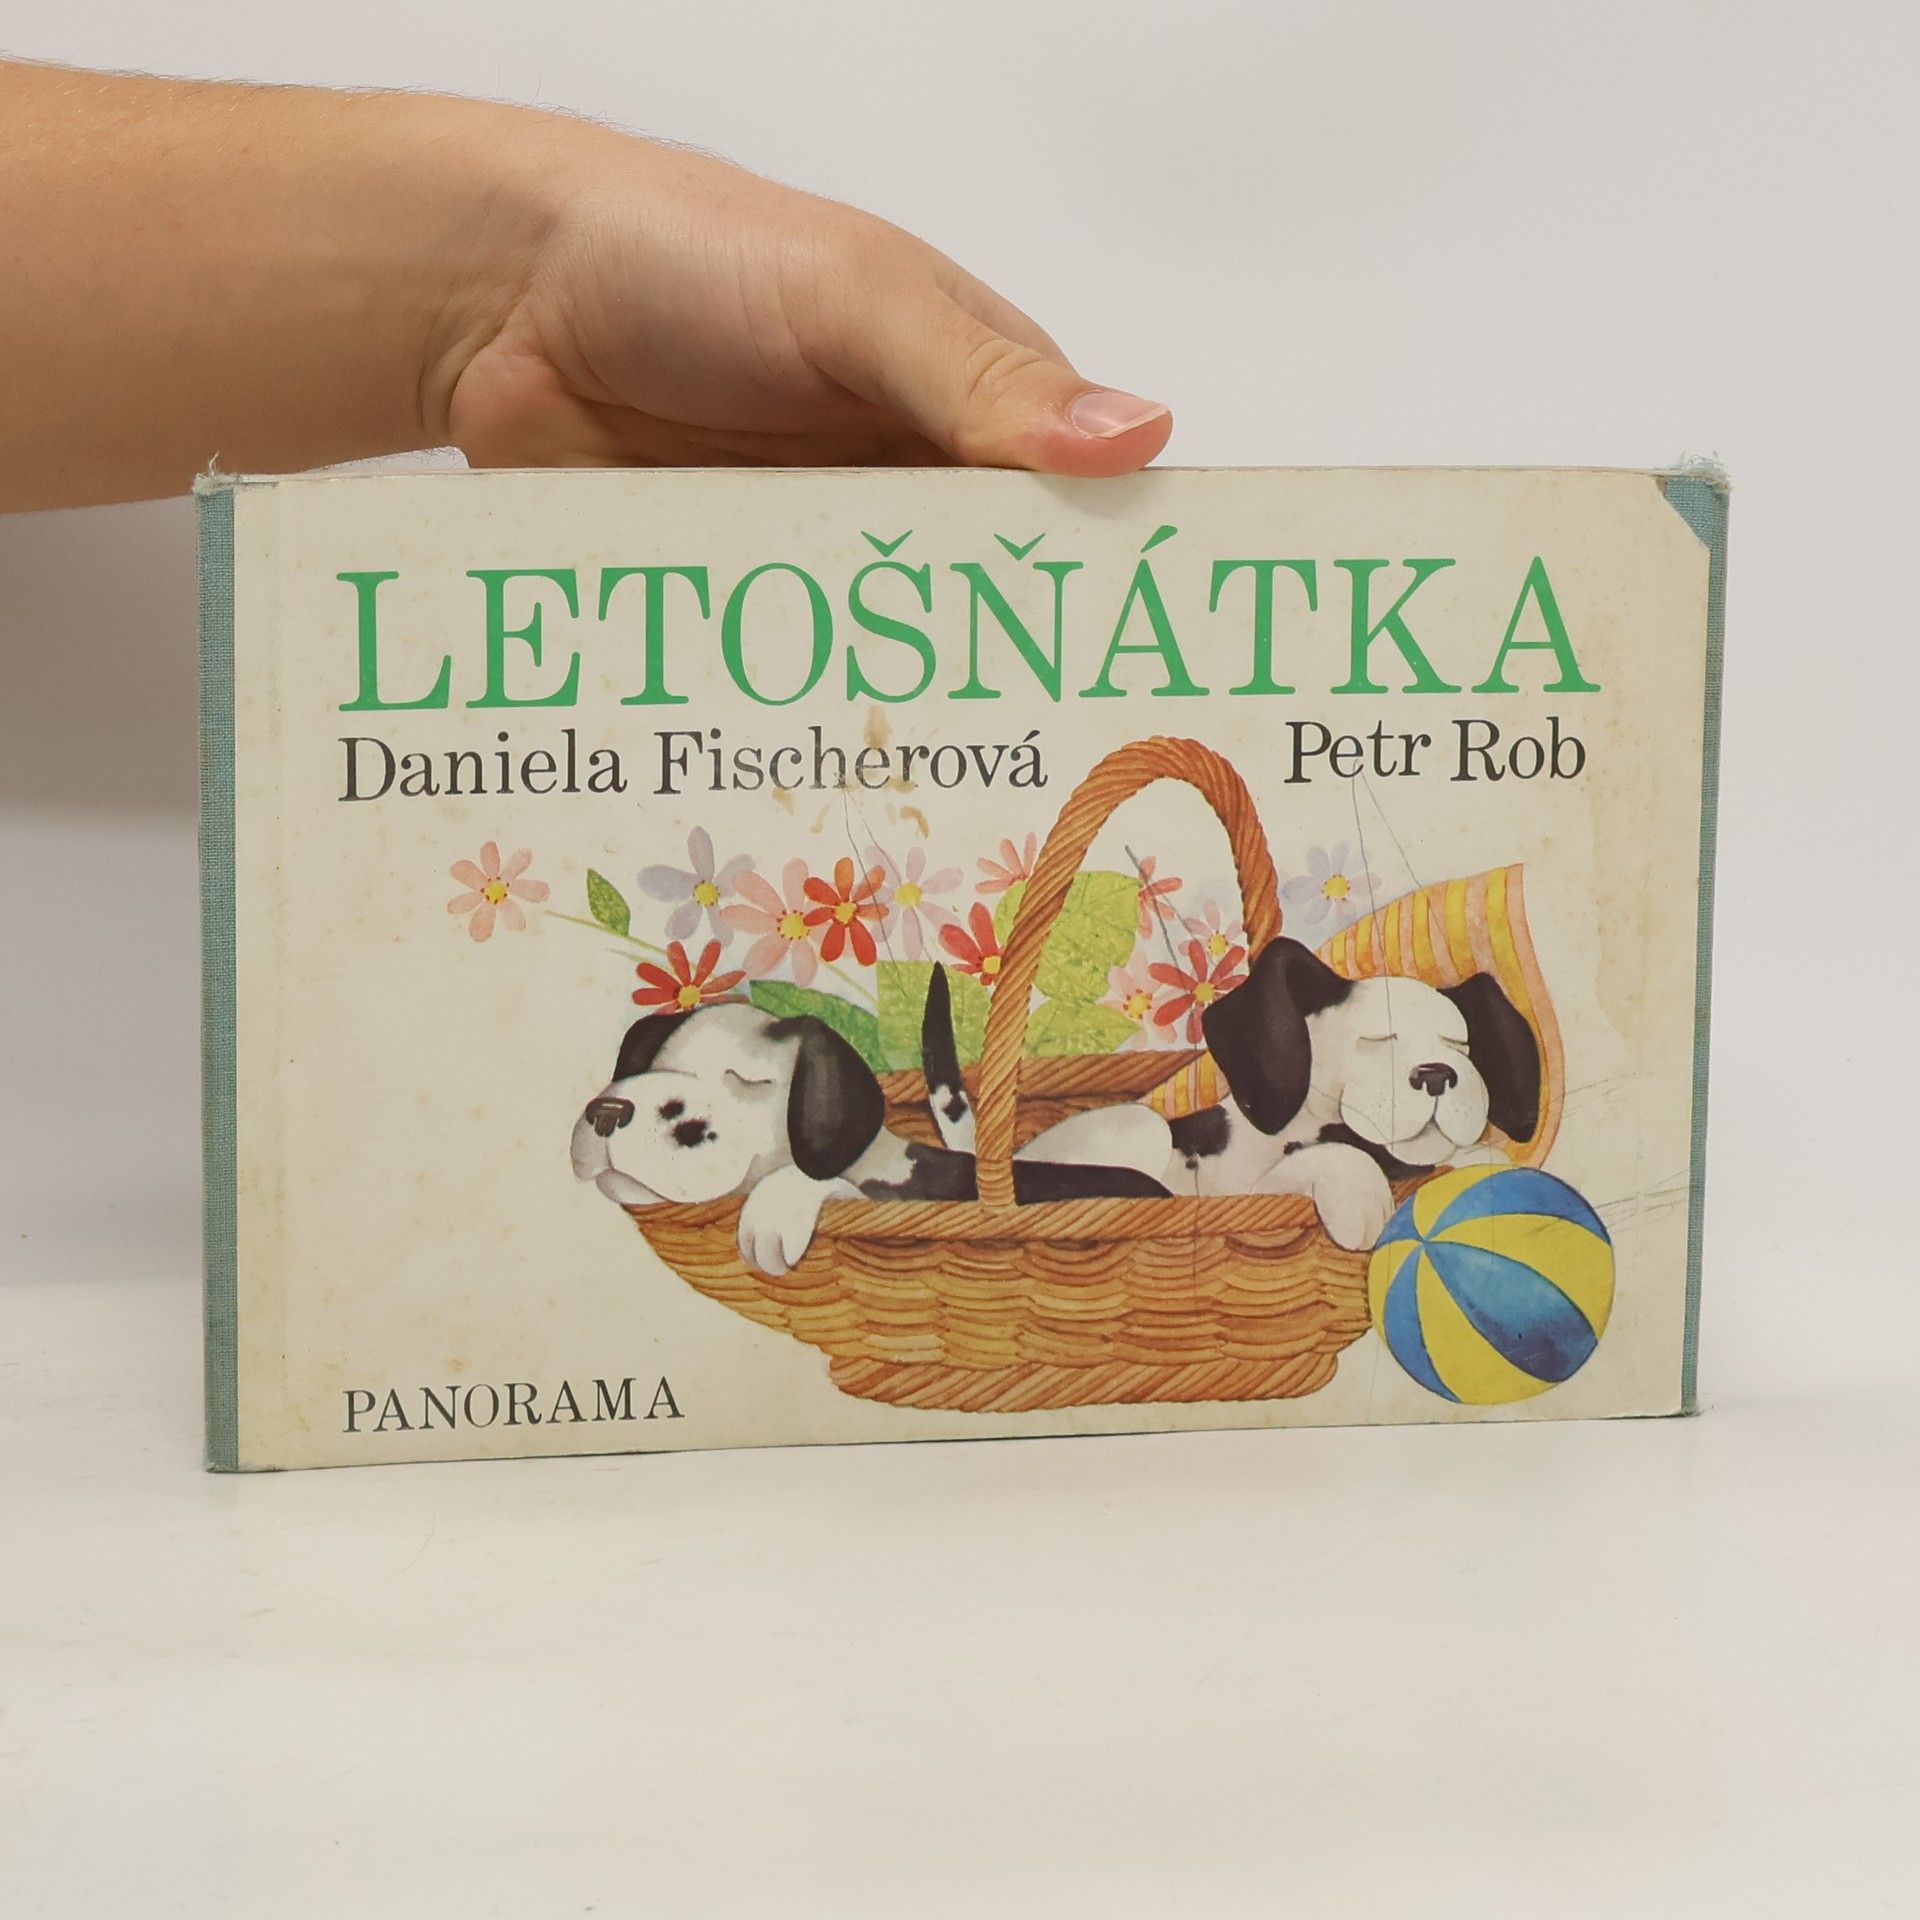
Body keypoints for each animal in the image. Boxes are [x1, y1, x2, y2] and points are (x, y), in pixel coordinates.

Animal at [927, 940, 1541, 1252]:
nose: (1438, 1073)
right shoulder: (1251, 1189)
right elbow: (1336, 1155)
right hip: (1141, 1127)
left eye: (1461, 1045)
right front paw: (1361, 1196)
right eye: (1376, 1039)